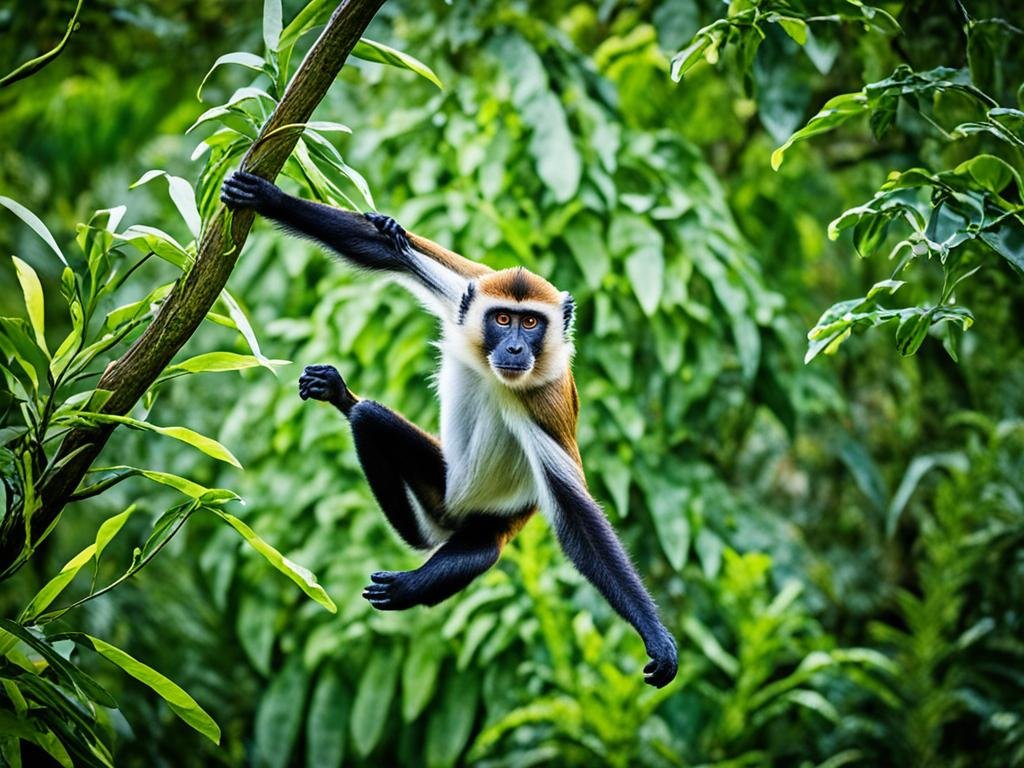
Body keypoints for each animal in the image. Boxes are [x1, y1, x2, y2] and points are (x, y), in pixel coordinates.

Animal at [221, 171, 678, 687]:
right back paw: (345, 398)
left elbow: (578, 518)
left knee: (476, 549)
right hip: (437, 483)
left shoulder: (542, 402)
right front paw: (268, 197)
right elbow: (387, 253)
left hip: (495, 518)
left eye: (531, 324)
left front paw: (656, 637)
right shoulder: (468, 293)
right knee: (371, 419)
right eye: (504, 319)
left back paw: (411, 582)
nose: (516, 349)